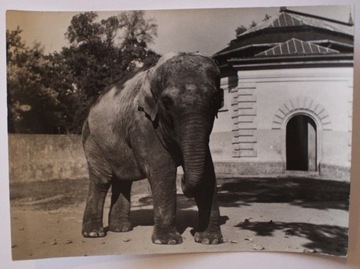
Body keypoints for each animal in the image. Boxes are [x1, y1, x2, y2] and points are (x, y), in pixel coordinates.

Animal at [82, 51, 224, 244]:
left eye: (214, 98)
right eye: (167, 101)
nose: (183, 179)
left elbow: (208, 171)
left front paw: (209, 240)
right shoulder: (143, 123)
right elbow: (163, 168)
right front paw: (168, 241)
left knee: (123, 179)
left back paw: (120, 229)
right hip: (92, 139)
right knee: (102, 179)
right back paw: (93, 234)